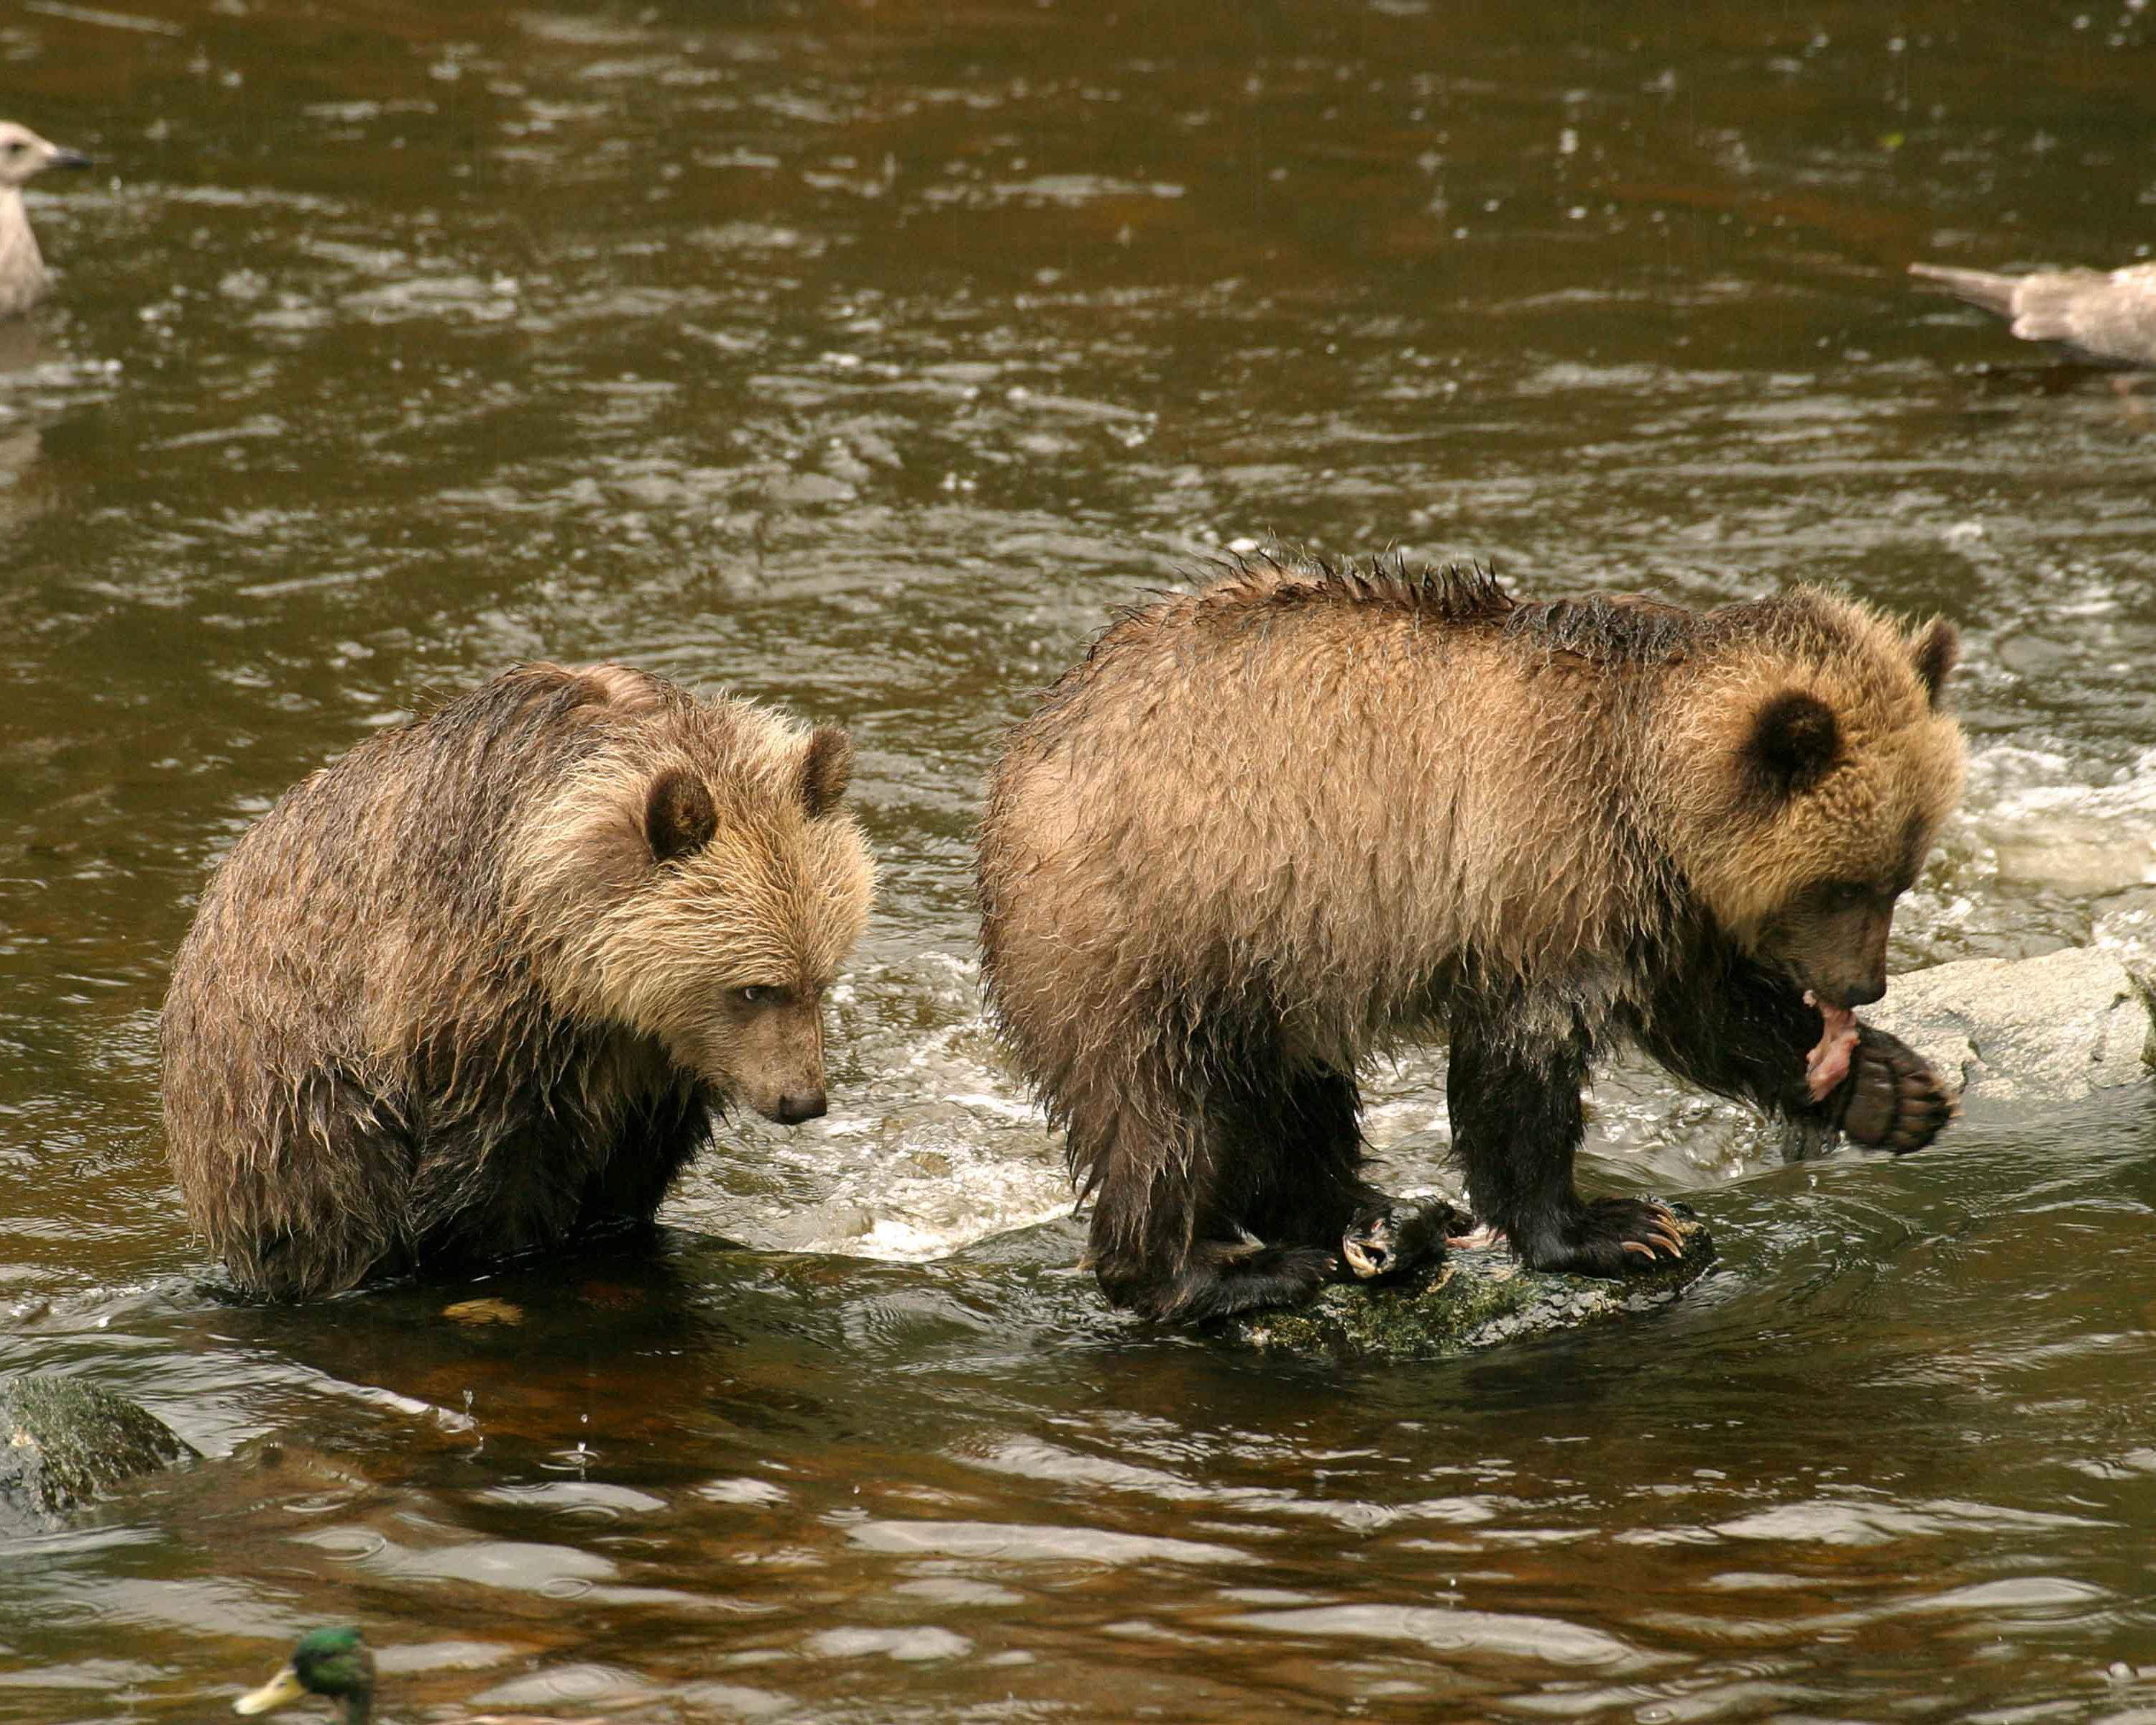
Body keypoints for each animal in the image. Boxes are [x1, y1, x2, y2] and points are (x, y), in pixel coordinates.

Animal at [163, 668, 875, 1302]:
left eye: (820, 977)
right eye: (754, 988)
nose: (802, 1100)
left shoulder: (650, 1069)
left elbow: (631, 1174)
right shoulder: (480, 1024)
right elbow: (490, 1180)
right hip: (291, 1094)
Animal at [983, 552, 1975, 1319]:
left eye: (1902, 873)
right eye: (1840, 885)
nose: (1862, 986)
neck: (1644, 787)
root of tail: (1026, 745)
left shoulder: (1656, 910)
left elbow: (1711, 1013)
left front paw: (1891, 1090)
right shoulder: (1542, 871)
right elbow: (1523, 1066)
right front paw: (1612, 1227)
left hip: (1277, 960)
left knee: (1292, 1098)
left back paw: (1372, 1216)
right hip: (1156, 922)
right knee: (1160, 1112)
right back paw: (1219, 1270)